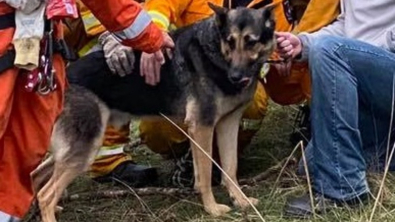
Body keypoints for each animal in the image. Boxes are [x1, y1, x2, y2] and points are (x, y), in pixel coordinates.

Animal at [31, 3, 276, 220]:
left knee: (35, 176)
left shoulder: (228, 123)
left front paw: (241, 201)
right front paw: (212, 209)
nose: (236, 76)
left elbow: (230, 168)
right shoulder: (203, 127)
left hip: (76, 147)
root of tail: (58, 80)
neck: (214, 50)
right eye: (229, 41)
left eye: (251, 42)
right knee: (46, 195)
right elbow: (206, 173)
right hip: (85, 147)